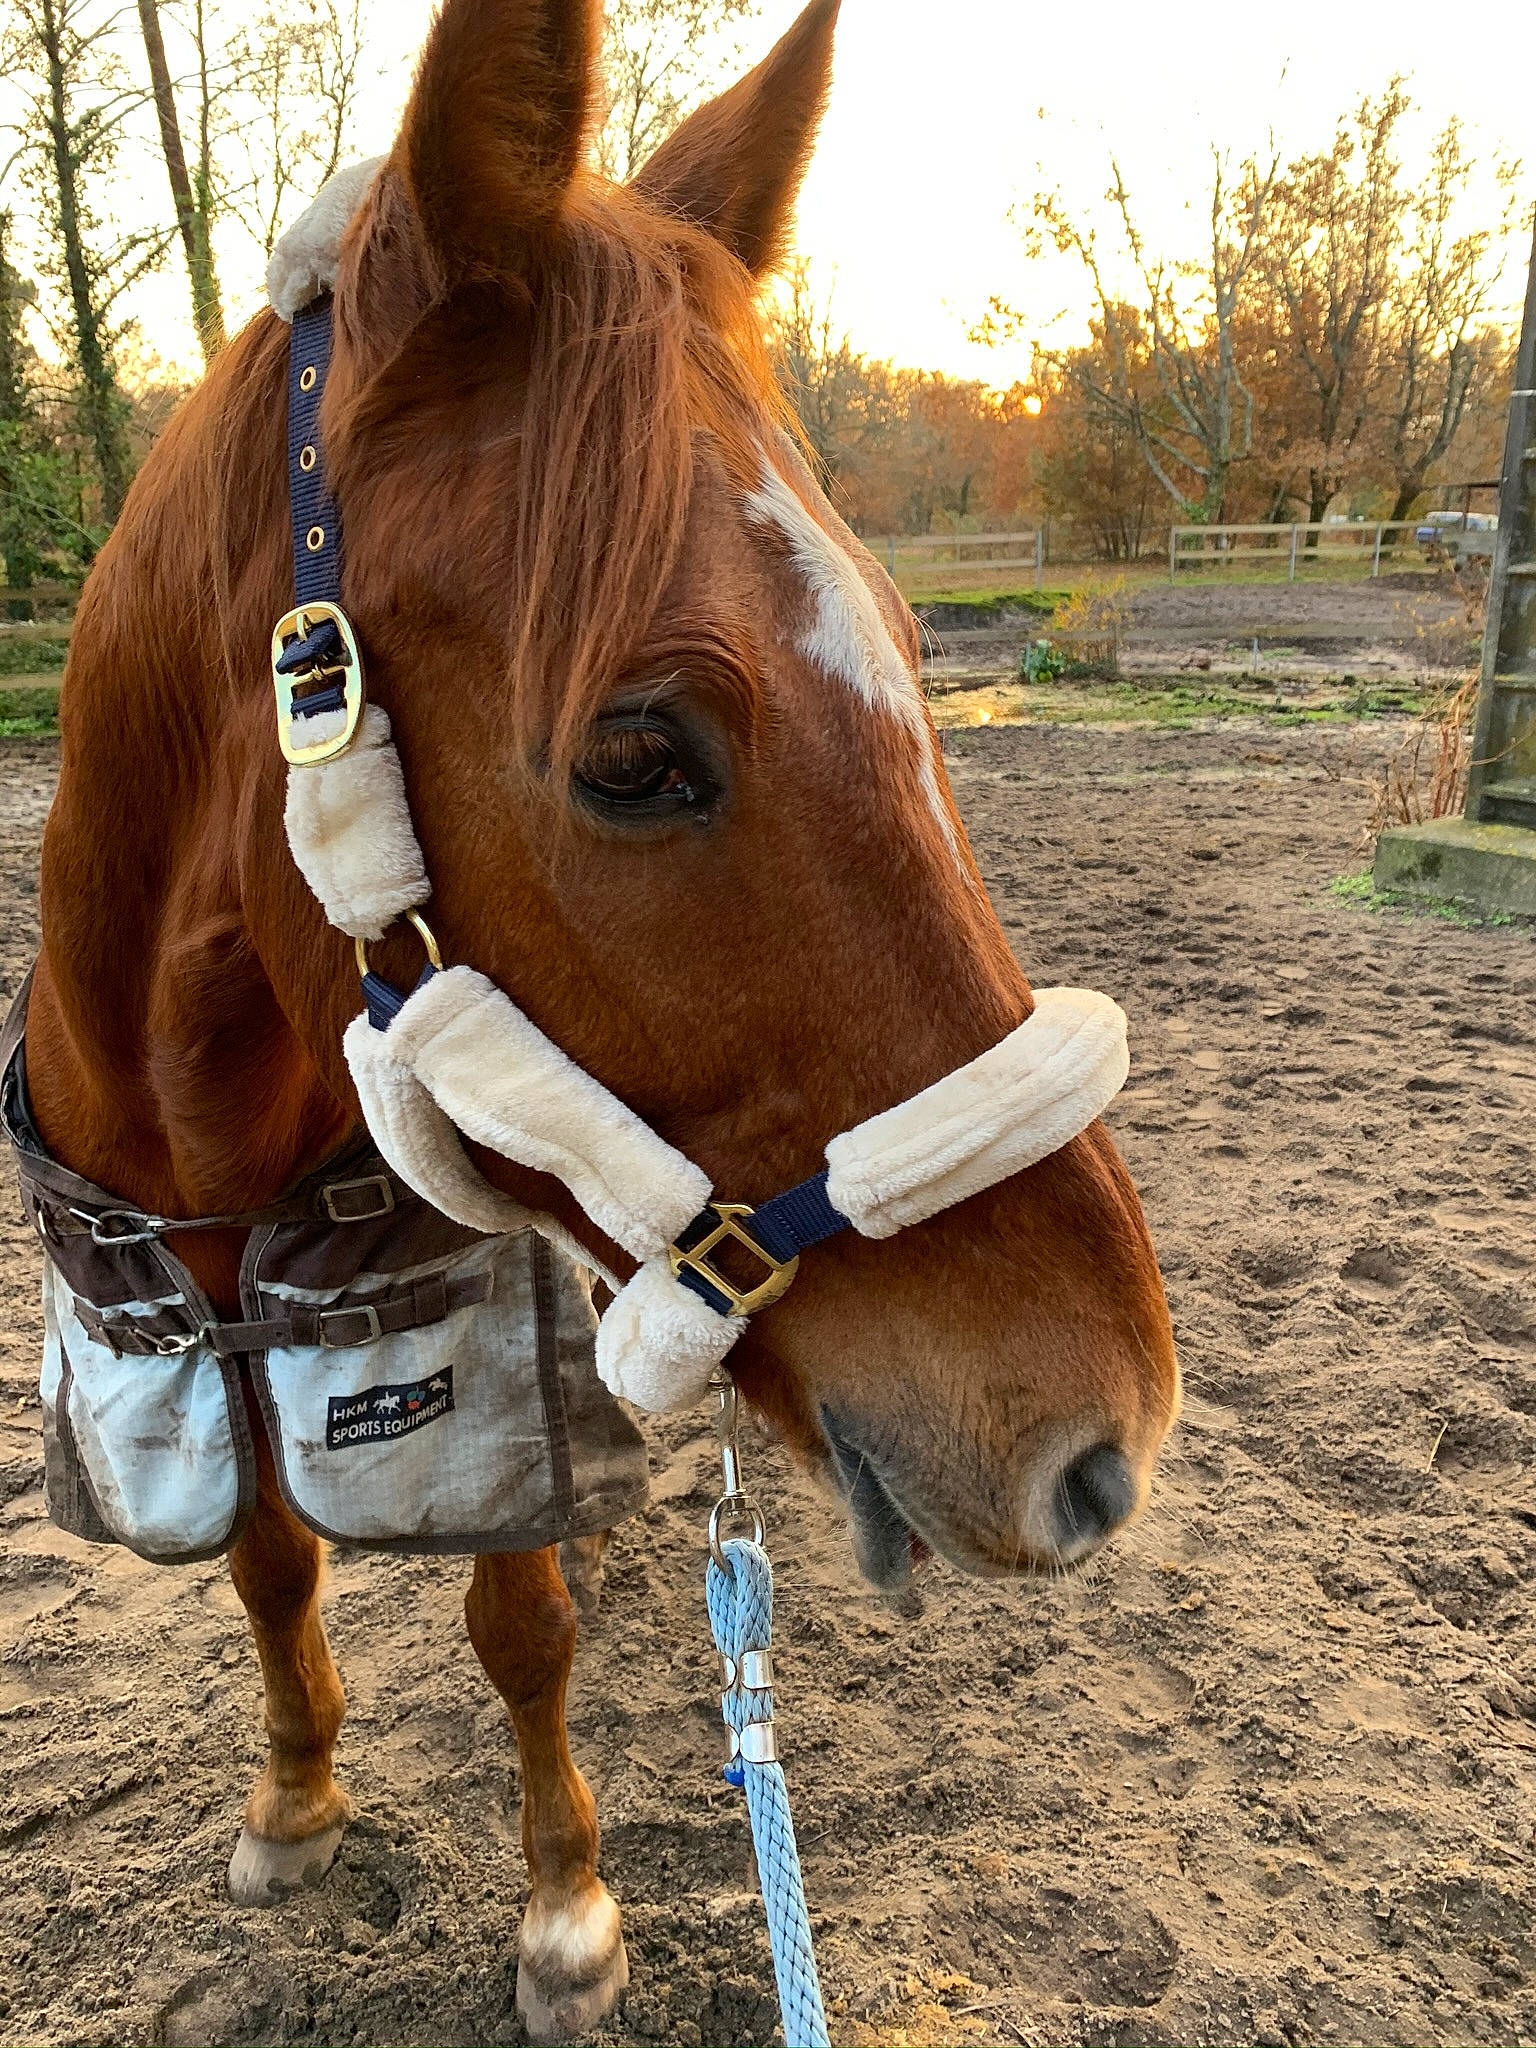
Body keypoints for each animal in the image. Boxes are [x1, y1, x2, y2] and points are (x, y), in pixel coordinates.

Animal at [18, 0, 1179, 2034]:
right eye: (636, 754)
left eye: (911, 650)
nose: (1105, 1445)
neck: (200, 1115)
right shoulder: (203, 1332)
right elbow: (264, 1560)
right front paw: (297, 1803)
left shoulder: (487, 1365)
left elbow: (520, 1614)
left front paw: (565, 1907)